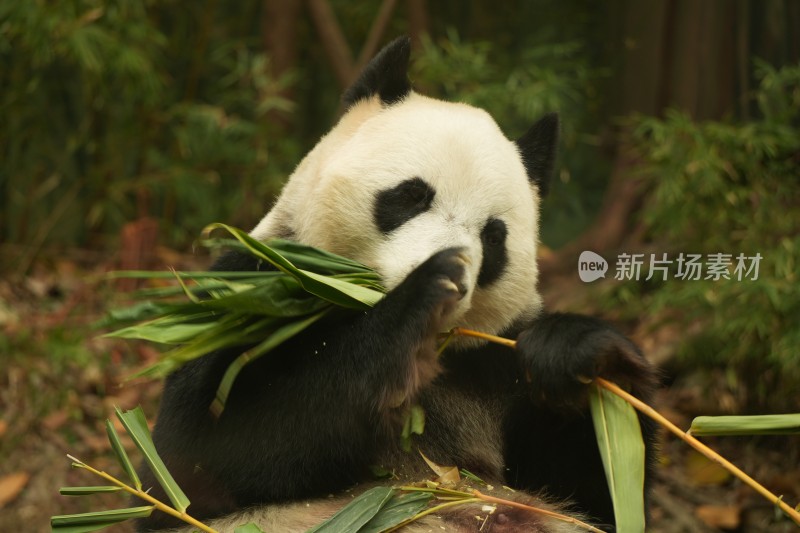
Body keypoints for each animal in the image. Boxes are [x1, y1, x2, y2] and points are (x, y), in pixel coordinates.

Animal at [138, 38, 660, 532]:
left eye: (494, 236)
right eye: (411, 195)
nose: (459, 277)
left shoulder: (493, 363)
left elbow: (600, 494)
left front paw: (578, 351)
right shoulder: (252, 293)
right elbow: (198, 458)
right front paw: (426, 289)